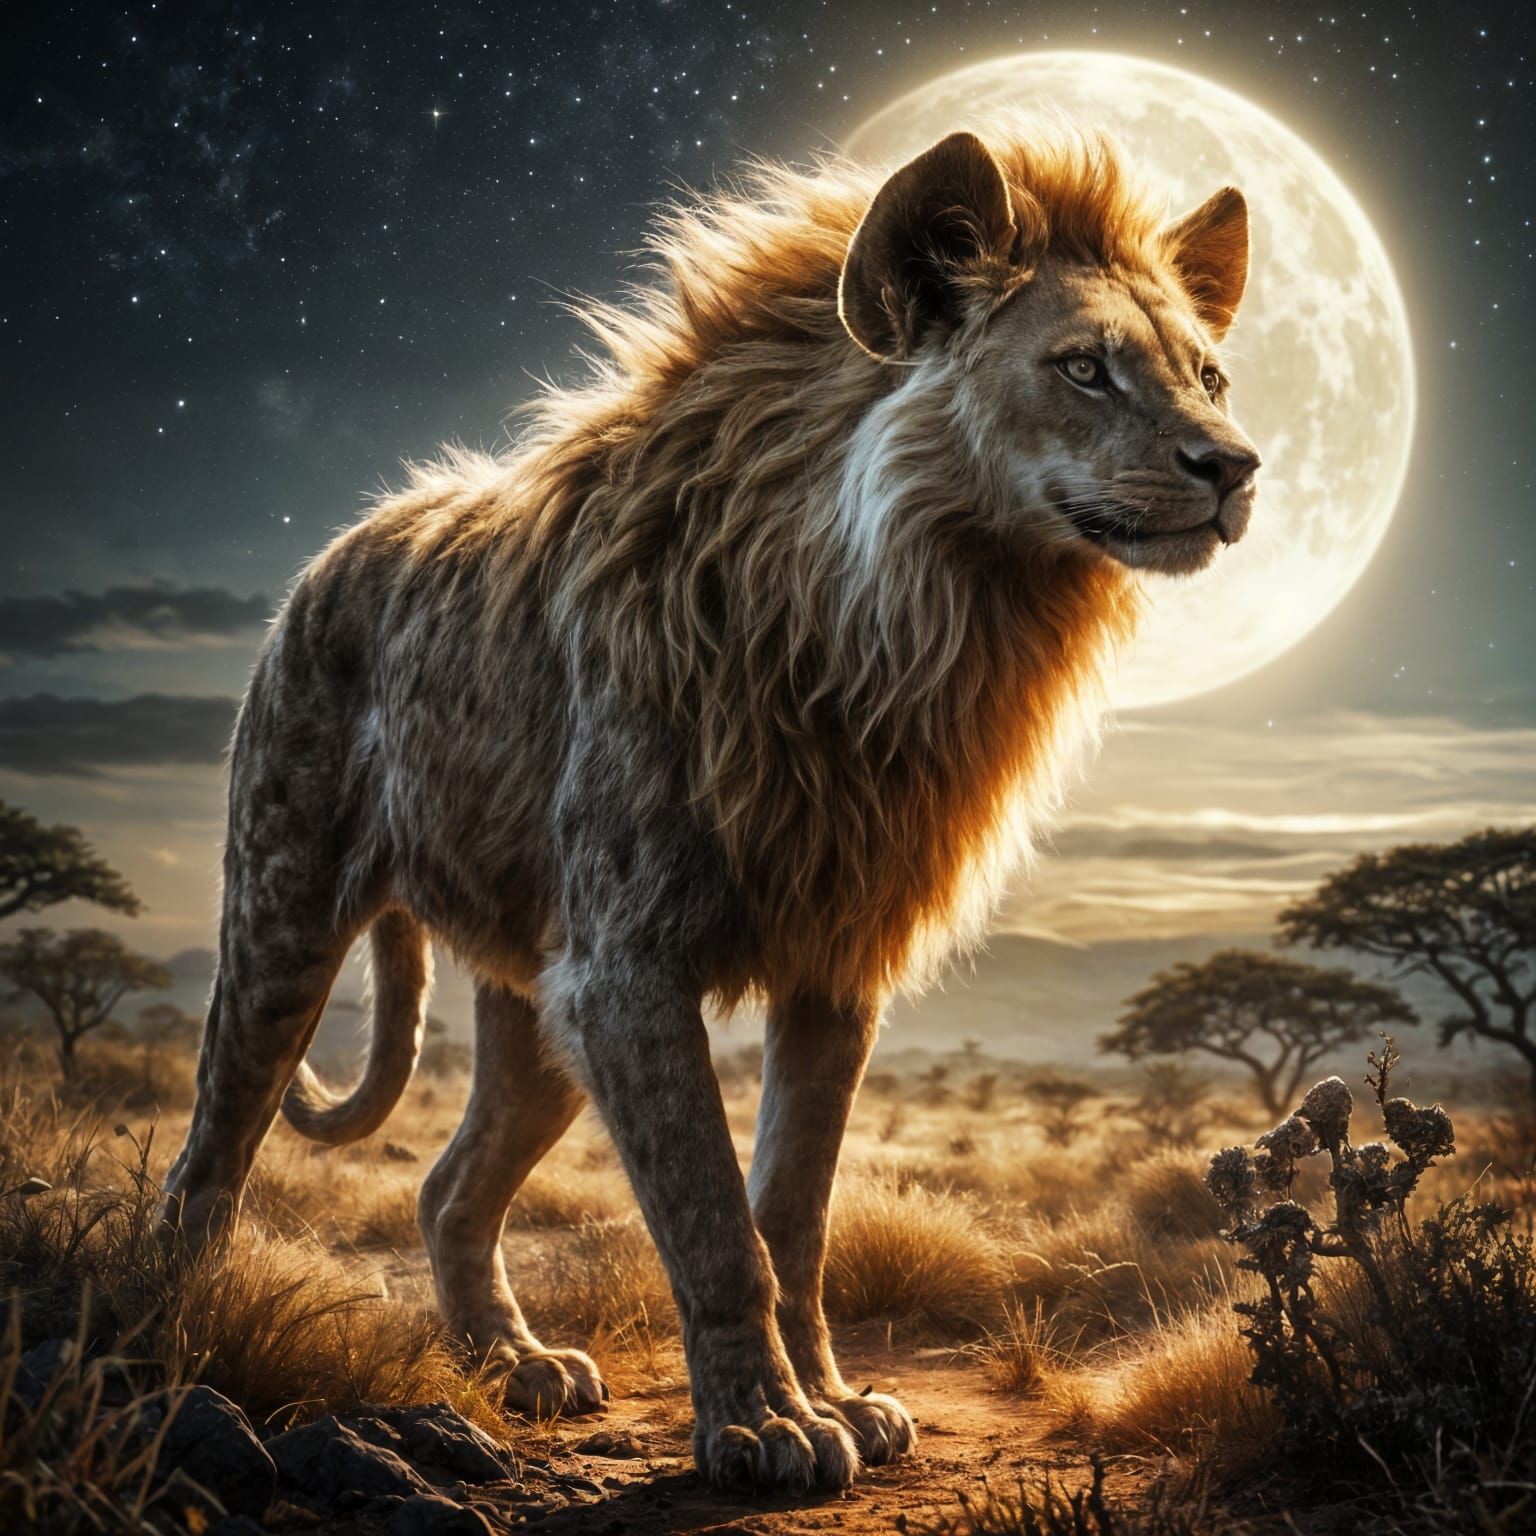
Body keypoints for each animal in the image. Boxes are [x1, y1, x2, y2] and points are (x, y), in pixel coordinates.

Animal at [162, 127, 1258, 1494]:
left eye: (1208, 374)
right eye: (1083, 369)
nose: (1235, 466)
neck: (918, 621)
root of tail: (337, 548)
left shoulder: (833, 967)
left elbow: (792, 1214)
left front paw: (835, 1400)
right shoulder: (625, 970)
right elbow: (712, 1221)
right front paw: (766, 1427)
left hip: (535, 1012)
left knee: (447, 1189)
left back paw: (513, 1365)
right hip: (288, 910)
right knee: (211, 1151)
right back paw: (175, 1339)